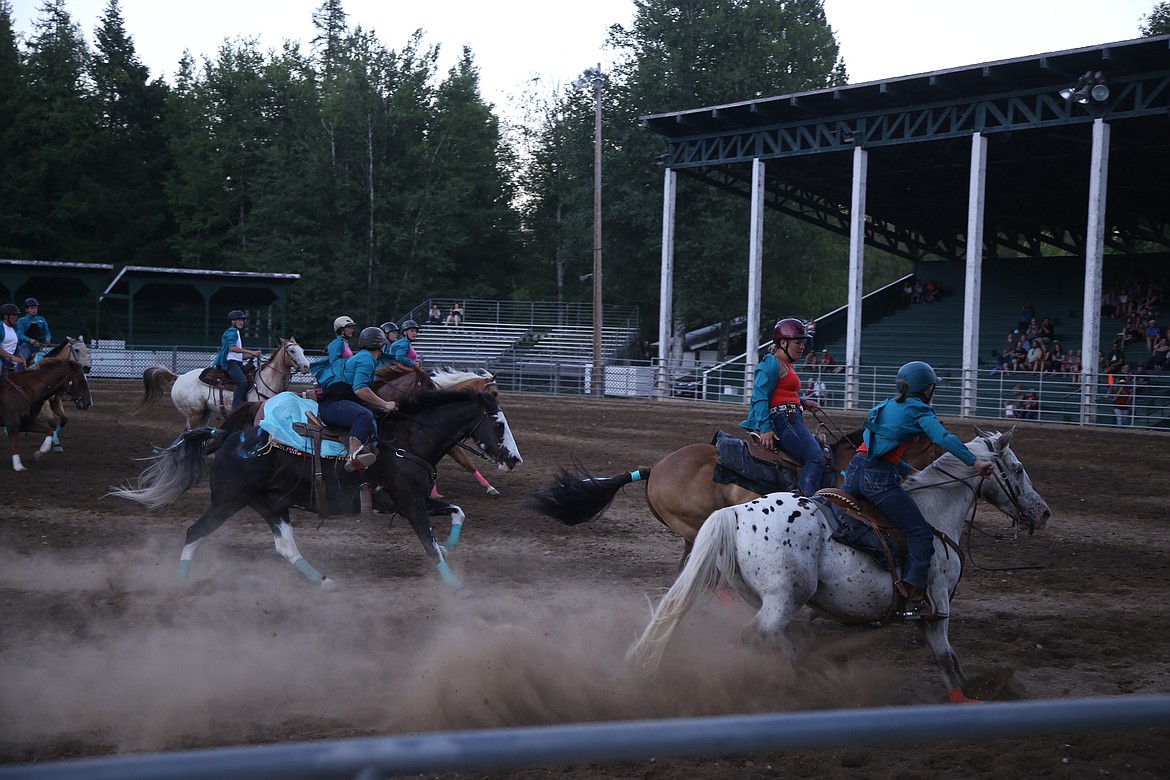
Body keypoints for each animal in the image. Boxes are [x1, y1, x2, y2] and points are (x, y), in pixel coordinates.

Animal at [108, 388, 521, 594]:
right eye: (498, 423)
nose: (515, 459)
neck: (408, 442)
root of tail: (226, 436)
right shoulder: (409, 503)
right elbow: (428, 543)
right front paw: (456, 585)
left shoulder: (410, 501)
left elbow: (456, 513)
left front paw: (451, 545)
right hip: (228, 501)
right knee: (195, 532)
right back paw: (178, 584)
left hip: (271, 504)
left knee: (285, 547)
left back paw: (325, 582)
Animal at [133, 339, 311, 430]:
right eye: (292, 351)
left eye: (303, 350)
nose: (306, 366)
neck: (266, 382)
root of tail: (179, 377)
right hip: (193, 414)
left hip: (204, 413)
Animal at [627, 430, 1057, 706]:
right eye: (1018, 469)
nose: (1043, 512)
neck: (932, 512)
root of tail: (734, 514)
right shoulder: (936, 606)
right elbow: (947, 658)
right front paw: (972, 696)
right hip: (784, 598)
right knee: (754, 637)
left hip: (765, 598)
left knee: (775, 639)